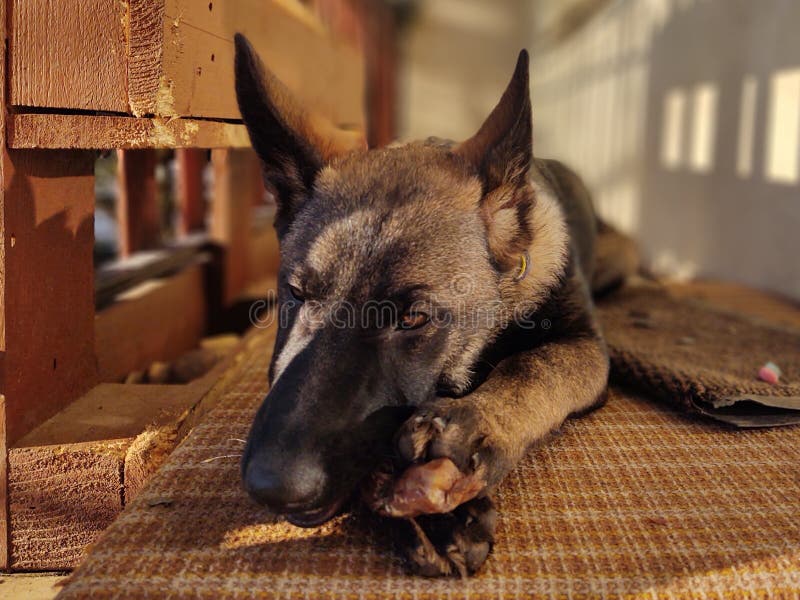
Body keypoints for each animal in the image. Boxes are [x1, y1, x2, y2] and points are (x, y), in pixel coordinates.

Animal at [233, 34, 636, 576]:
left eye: (413, 318)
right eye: (297, 294)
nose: (274, 488)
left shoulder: (584, 345)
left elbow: (534, 365)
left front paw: (477, 423)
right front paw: (429, 513)